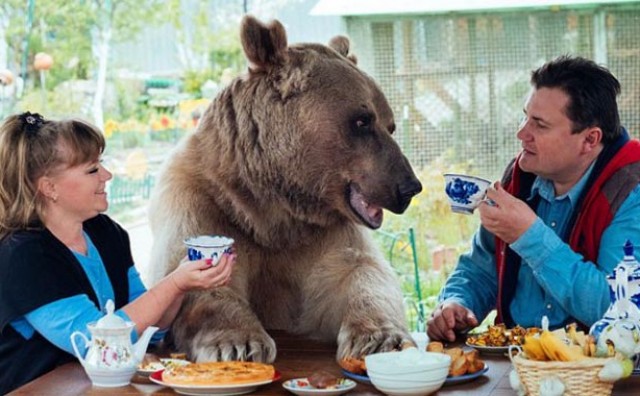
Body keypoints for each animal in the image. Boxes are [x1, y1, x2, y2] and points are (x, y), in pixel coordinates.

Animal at [148, 15, 422, 364]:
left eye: (390, 125)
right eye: (362, 121)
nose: (409, 186)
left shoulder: (322, 234)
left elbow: (359, 273)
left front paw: (381, 338)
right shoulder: (202, 202)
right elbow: (196, 277)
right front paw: (238, 343)